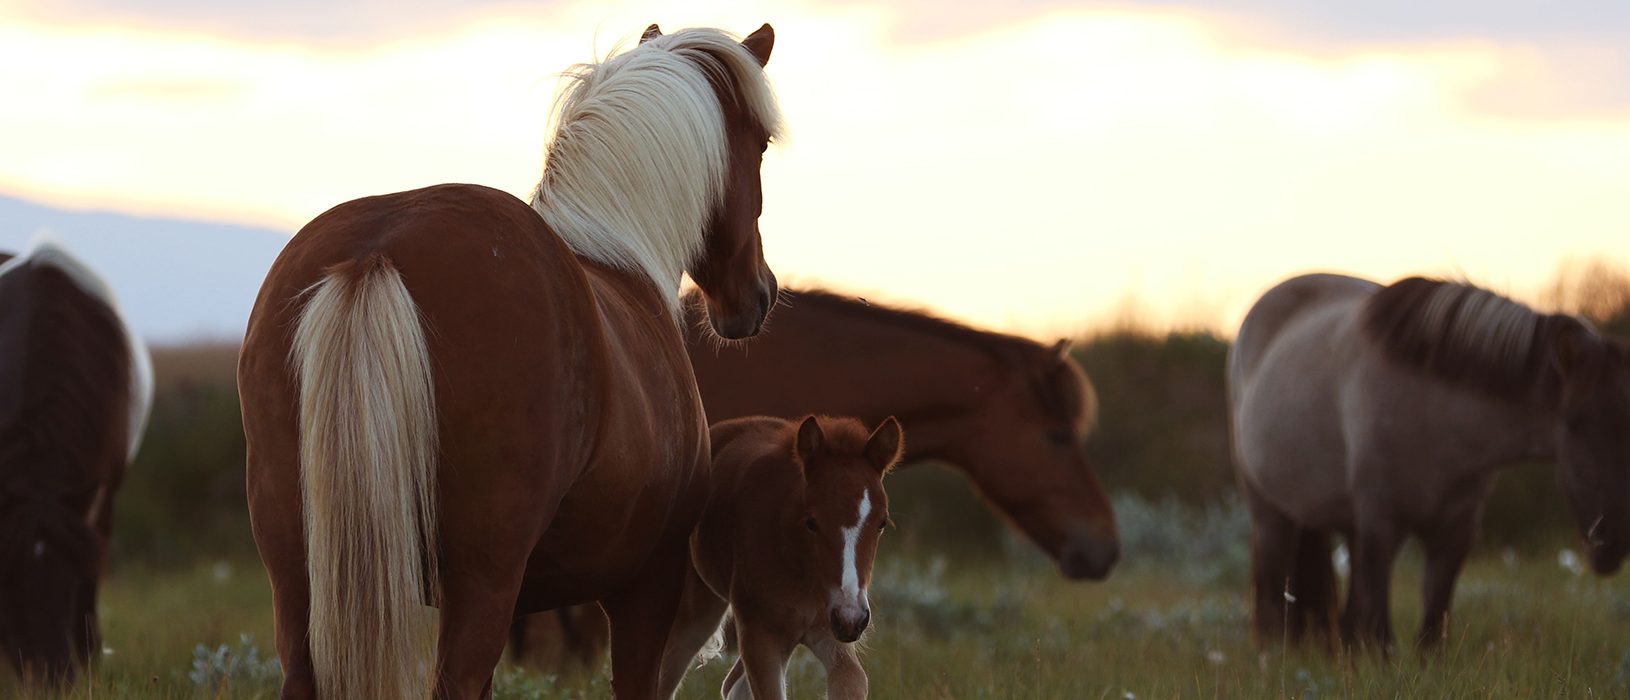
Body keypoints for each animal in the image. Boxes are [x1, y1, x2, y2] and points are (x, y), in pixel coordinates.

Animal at [237, 24, 783, 699]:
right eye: (759, 146)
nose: (759, 293)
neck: (623, 260)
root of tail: (376, 250)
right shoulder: (645, 587)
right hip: (483, 581)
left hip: (298, 575)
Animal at [667, 415, 901, 700]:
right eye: (811, 522)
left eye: (881, 523)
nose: (852, 619)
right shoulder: (760, 634)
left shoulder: (830, 630)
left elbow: (852, 681)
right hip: (697, 610)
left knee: (733, 685)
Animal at [1229, 273, 1630, 652]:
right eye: (1576, 421)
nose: (1614, 541)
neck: (1435, 416)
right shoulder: (1381, 524)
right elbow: (1379, 633)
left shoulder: (1454, 532)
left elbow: (1431, 634)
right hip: (1270, 512)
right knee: (1273, 602)